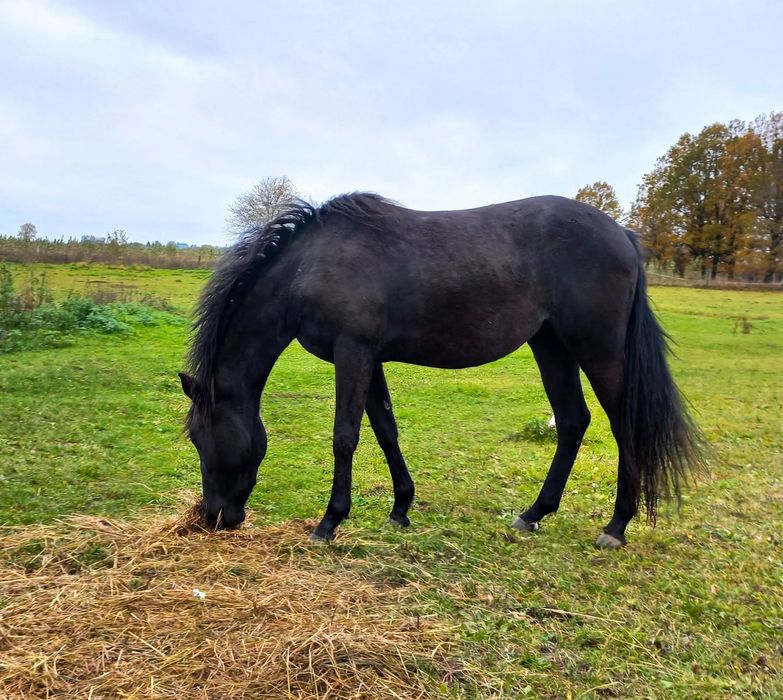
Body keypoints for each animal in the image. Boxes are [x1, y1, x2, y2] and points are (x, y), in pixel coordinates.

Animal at [179, 192, 705, 548]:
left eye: (203, 438)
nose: (215, 516)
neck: (311, 265)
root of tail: (623, 235)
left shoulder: (353, 353)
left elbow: (345, 436)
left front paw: (329, 523)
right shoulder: (370, 357)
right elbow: (385, 429)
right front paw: (400, 508)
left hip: (597, 348)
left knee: (623, 426)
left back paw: (616, 526)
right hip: (551, 345)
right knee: (573, 422)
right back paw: (533, 513)